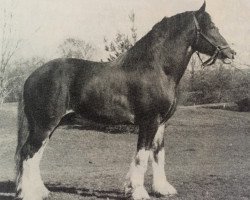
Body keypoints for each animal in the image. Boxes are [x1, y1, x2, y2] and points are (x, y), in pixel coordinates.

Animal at [14, 1, 235, 200]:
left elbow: (158, 154)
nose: (231, 53)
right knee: (28, 153)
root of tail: (32, 76)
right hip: (44, 125)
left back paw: (41, 191)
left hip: (49, 125)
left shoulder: (161, 123)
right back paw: (28, 194)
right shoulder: (149, 121)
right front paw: (138, 192)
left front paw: (162, 189)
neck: (157, 68)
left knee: (36, 154)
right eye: (212, 26)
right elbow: (142, 156)